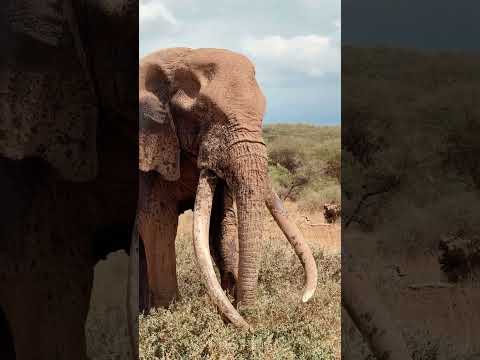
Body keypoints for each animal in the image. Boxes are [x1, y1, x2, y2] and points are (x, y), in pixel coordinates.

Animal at [137, 47, 318, 326]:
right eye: (201, 110)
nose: (252, 321)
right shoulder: (150, 150)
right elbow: (157, 224)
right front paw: (169, 315)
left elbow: (221, 223)